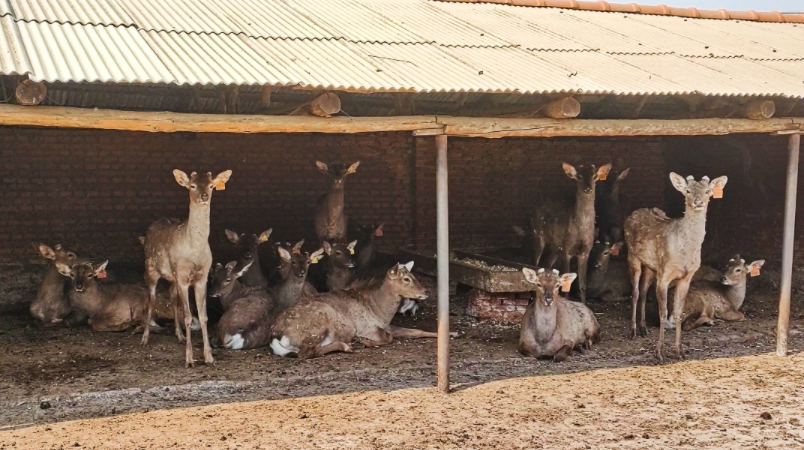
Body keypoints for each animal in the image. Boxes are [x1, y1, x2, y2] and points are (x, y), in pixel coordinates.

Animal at [140, 169, 232, 368]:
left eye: (211, 185)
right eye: (192, 185)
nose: (204, 196)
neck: (194, 250)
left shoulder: (202, 278)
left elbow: (204, 316)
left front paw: (209, 357)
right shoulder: (182, 276)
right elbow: (189, 317)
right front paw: (189, 360)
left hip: (172, 277)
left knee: (173, 298)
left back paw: (180, 336)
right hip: (150, 269)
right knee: (151, 300)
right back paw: (144, 339)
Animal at [270, 262, 447, 359]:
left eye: (413, 275)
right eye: (406, 279)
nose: (425, 292)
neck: (380, 311)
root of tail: (276, 336)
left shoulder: (386, 325)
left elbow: (415, 331)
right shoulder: (365, 326)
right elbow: (389, 337)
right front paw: (366, 342)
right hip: (318, 325)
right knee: (306, 352)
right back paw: (346, 346)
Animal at [531, 163, 611, 305]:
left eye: (594, 176)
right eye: (579, 177)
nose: (588, 189)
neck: (581, 230)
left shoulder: (585, 251)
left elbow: (583, 284)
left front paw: (585, 305)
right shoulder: (567, 249)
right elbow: (566, 281)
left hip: (556, 246)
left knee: (547, 263)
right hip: (538, 234)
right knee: (535, 262)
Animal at [625, 173, 727, 363]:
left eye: (707, 191)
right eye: (688, 191)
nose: (698, 202)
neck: (684, 254)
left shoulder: (686, 277)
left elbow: (679, 312)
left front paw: (680, 351)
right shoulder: (664, 275)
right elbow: (663, 313)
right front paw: (660, 353)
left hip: (651, 267)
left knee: (643, 291)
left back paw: (643, 329)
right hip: (632, 256)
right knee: (634, 292)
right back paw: (633, 331)